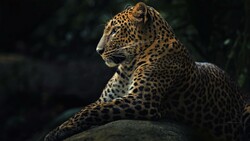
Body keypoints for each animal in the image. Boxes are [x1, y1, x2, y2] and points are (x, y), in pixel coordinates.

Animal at [45, 2, 250, 141]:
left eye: (115, 31)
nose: (98, 50)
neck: (128, 66)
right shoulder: (107, 98)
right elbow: (88, 108)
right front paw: (59, 128)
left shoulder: (141, 100)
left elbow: (92, 110)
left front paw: (58, 131)